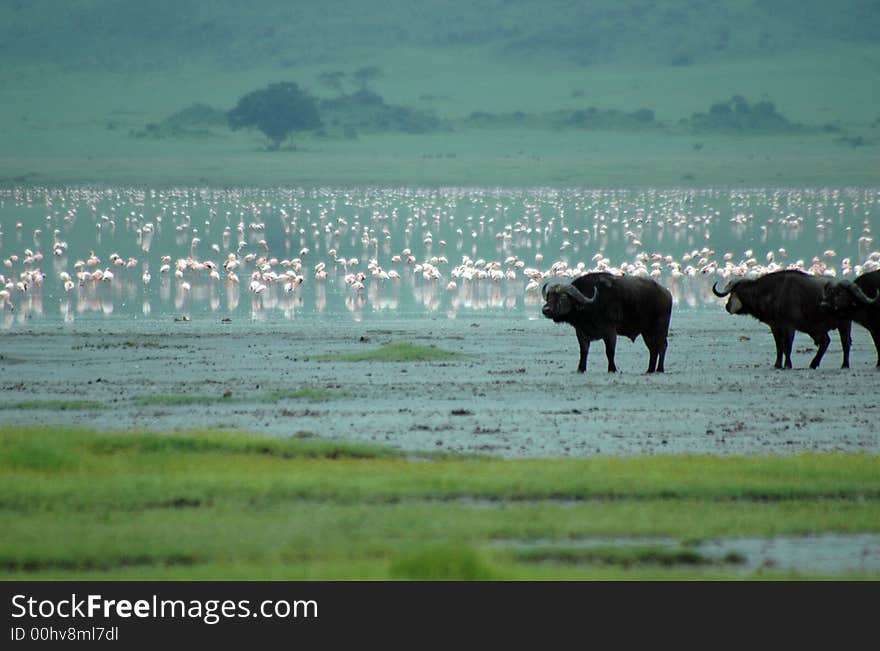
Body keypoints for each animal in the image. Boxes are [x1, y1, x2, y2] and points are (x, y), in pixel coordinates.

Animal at [540, 274, 672, 374]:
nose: (545, 310)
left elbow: (610, 351)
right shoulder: (581, 332)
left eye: (562, 298)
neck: (591, 306)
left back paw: (660, 369)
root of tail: (666, 293)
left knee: (662, 346)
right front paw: (581, 369)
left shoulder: (610, 332)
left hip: (661, 328)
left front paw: (612, 369)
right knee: (653, 349)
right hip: (647, 332)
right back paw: (650, 370)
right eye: (549, 297)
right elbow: (583, 351)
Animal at [716, 270, 852, 370]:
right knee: (825, 342)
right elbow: (779, 346)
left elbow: (787, 346)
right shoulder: (775, 327)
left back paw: (844, 365)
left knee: (845, 343)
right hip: (816, 328)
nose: (727, 306)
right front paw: (777, 364)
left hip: (844, 323)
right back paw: (813, 364)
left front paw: (787, 365)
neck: (774, 293)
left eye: (733, 292)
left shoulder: (789, 327)